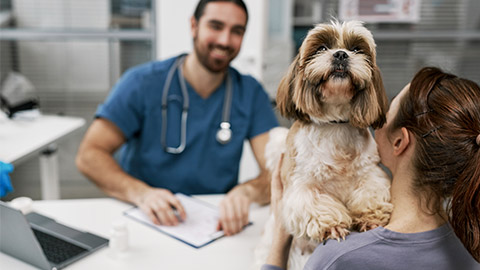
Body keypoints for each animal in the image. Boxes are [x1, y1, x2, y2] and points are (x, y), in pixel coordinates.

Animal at [253, 20, 392, 268]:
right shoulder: (300, 185)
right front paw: (333, 226)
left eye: (356, 49)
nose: (340, 54)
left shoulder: (370, 174)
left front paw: (370, 218)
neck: (335, 124)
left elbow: (370, 193)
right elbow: (313, 203)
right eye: (321, 48)